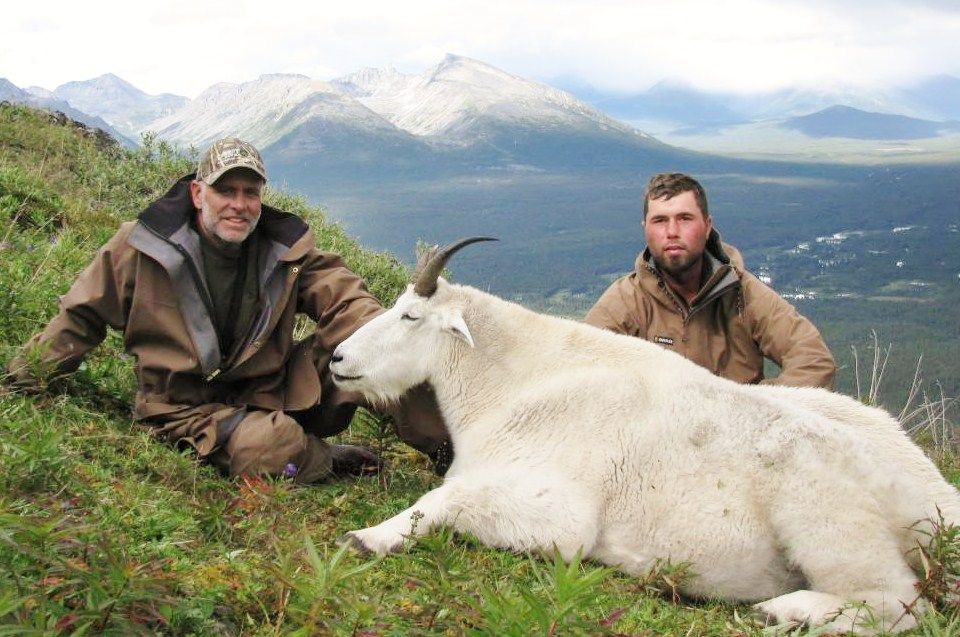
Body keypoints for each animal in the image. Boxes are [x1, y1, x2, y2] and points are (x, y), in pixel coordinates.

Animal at [330, 237, 960, 634]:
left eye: (411, 317)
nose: (338, 359)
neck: (524, 380)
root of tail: (934, 504)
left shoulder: (562, 520)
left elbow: (444, 499)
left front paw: (366, 538)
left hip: (828, 522)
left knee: (900, 603)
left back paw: (780, 611)